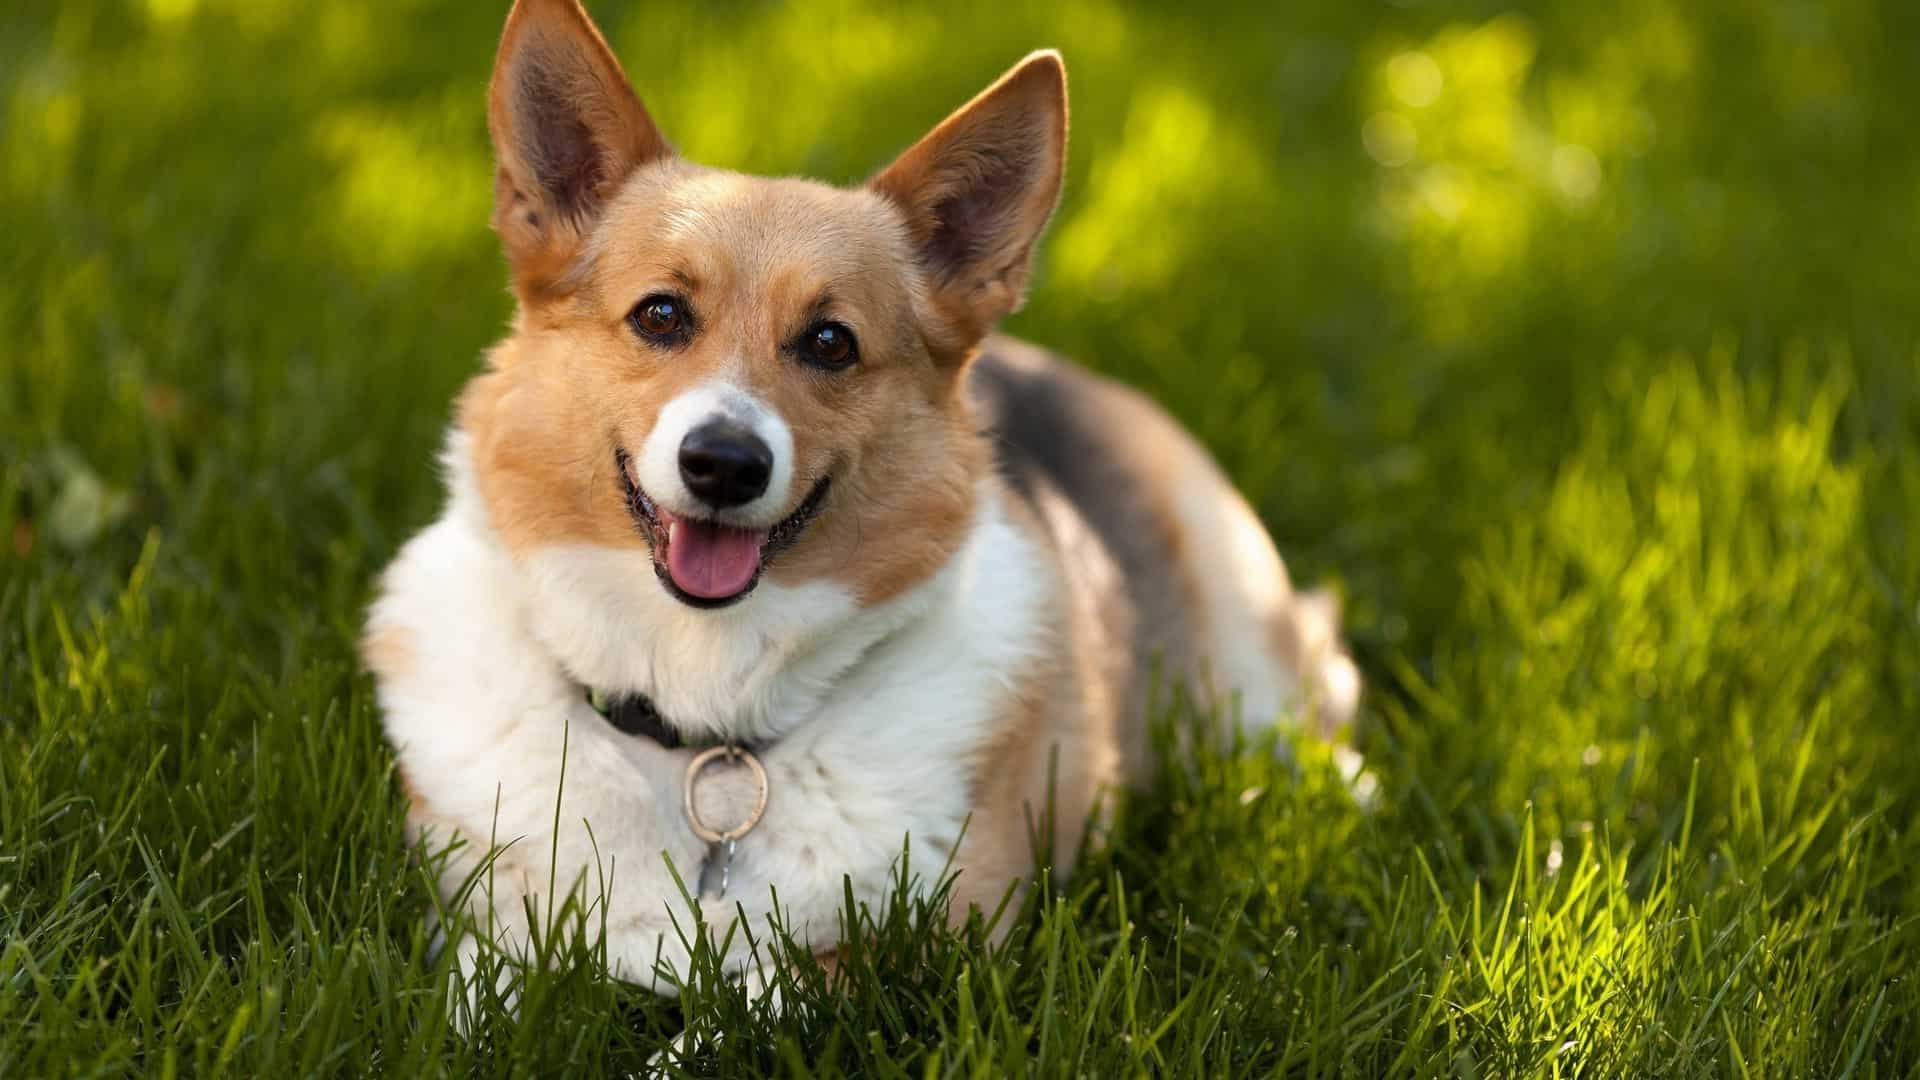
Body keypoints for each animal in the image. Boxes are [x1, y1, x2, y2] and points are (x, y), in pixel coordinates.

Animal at [360, 0, 1351, 999]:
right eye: (660, 315)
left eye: (831, 342)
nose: (725, 464)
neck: (706, 725)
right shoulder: (479, 929)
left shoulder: (917, 957)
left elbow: (758, 994)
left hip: (1247, 666)